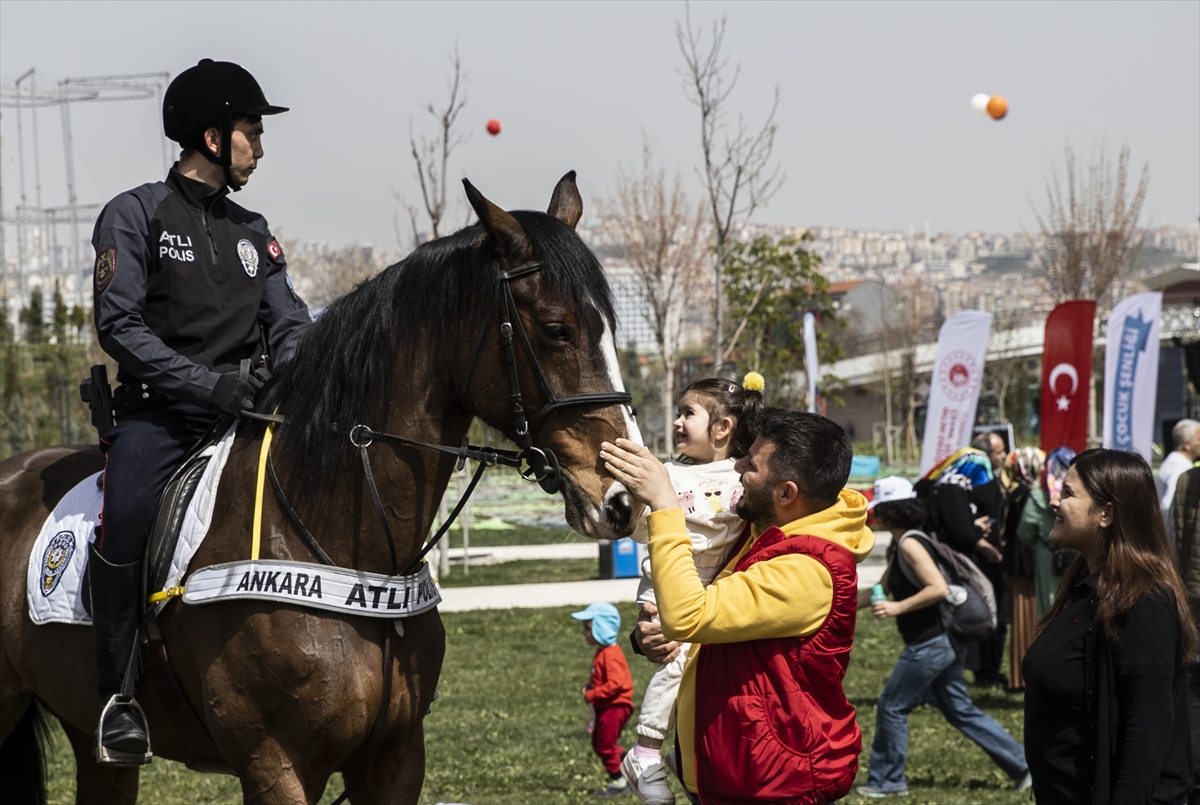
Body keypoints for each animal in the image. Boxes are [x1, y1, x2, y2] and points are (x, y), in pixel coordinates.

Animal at [0, 176, 643, 805]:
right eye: (557, 330)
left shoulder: (395, 762)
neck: (351, 553)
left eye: (613, 327)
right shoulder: (274, 767)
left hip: (90, 742)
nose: (624, 499)